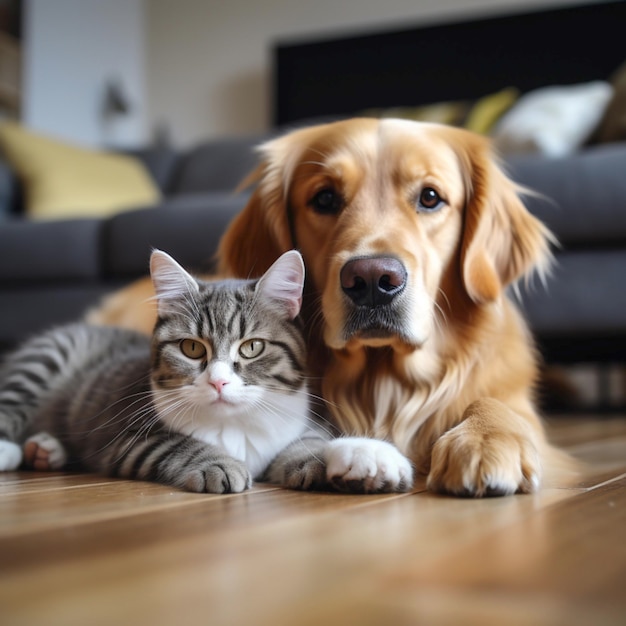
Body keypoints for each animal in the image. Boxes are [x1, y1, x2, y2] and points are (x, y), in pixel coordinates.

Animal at [0, 250, 312, 492]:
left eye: (252, 347)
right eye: (192, 348)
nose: (218, 382)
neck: (232, 425)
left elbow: (305, 444)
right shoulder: (126, 440)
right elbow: (177, 445)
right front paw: (220, 464)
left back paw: (44, 450)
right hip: (43, 362)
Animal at [89, 118, 576, 492]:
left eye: (430, 197)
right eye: (324, 198)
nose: (373, 280)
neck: (384, 385)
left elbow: (496, 406)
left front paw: (484, 441)